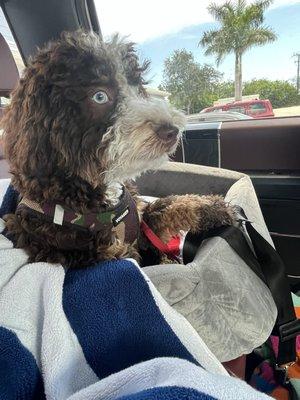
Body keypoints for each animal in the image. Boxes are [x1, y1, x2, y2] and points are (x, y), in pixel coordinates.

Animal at [0, 31, 234, 268]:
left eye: (137, 87)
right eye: (100, 96)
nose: (172, 131)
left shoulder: (140, 219)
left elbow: (168, 206)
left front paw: (212, 207)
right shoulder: (88, 251)